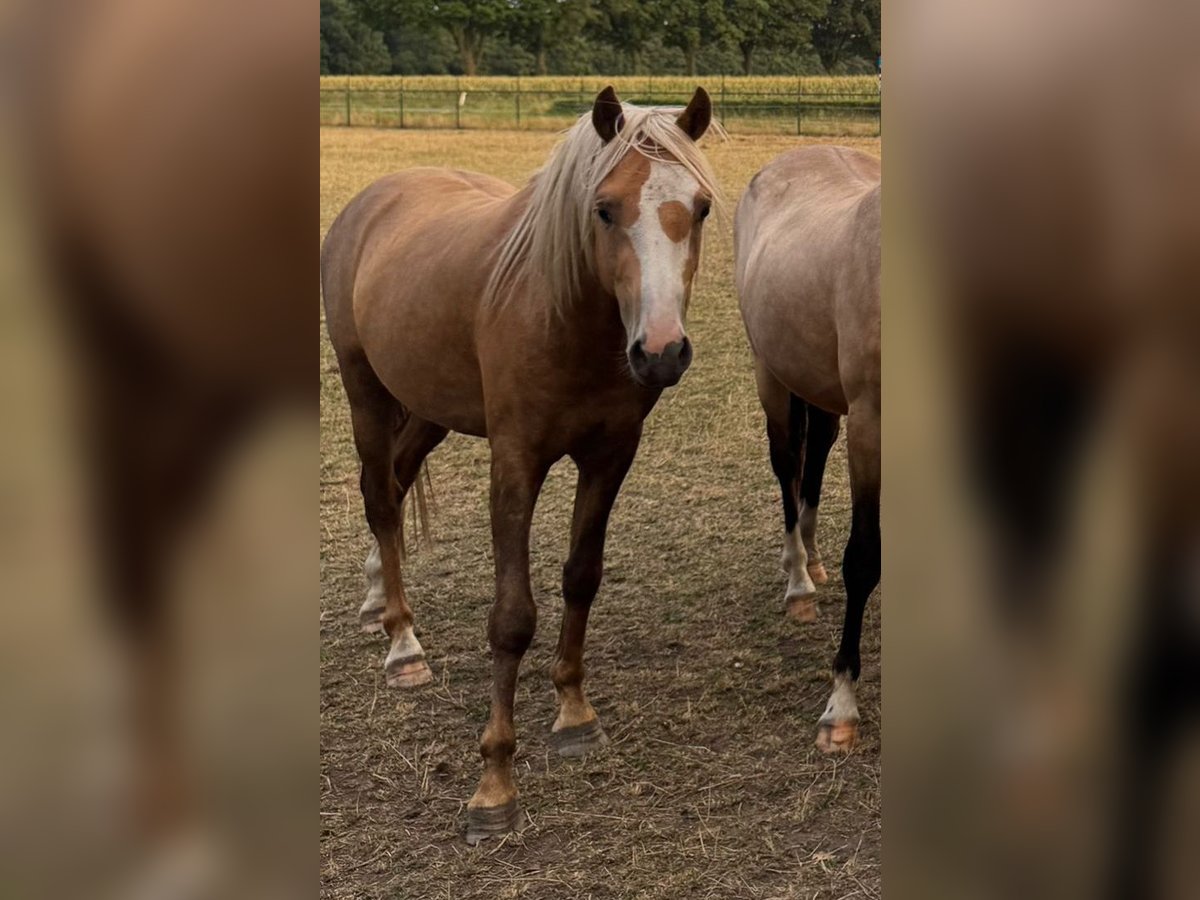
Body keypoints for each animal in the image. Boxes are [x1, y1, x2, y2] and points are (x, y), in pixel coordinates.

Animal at [320, 87, 719, 843]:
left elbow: (581, 578)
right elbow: (511, 617)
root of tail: (375, 196)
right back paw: (403, 644)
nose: (661, 351)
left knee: (398, 482)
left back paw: (377, 597)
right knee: (379, 498)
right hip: (366, 393)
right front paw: (494, 785)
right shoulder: (515, 463)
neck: (566, 317)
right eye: (604, 208)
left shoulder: (611, 455)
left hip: (432, 410)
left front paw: (574, 714)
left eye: (703, 207)